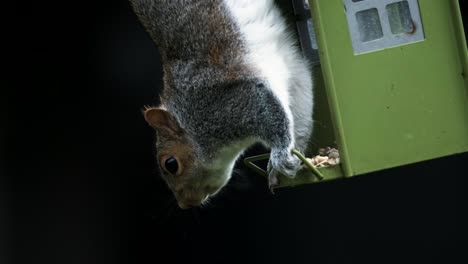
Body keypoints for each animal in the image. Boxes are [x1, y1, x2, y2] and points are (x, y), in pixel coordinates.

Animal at [131, 0, 314, 209]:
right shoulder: (293, 72)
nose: (186, 204)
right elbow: (300, 115)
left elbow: (273, 117)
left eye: (171, 164)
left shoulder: (229, 104)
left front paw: (281, 157)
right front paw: (285, 164)